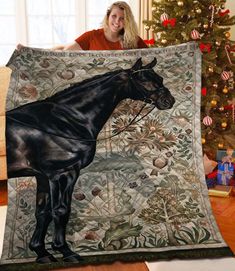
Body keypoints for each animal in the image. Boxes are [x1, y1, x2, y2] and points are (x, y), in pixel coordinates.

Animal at [5, 57, 175, 264]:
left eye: (160, 78)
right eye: (144, 80)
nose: (169, 101)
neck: (61, 122)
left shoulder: (43, 177)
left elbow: (42, 213)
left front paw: (42, 253)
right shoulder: (63, 173)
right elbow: (61, 210)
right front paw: (66, 251)